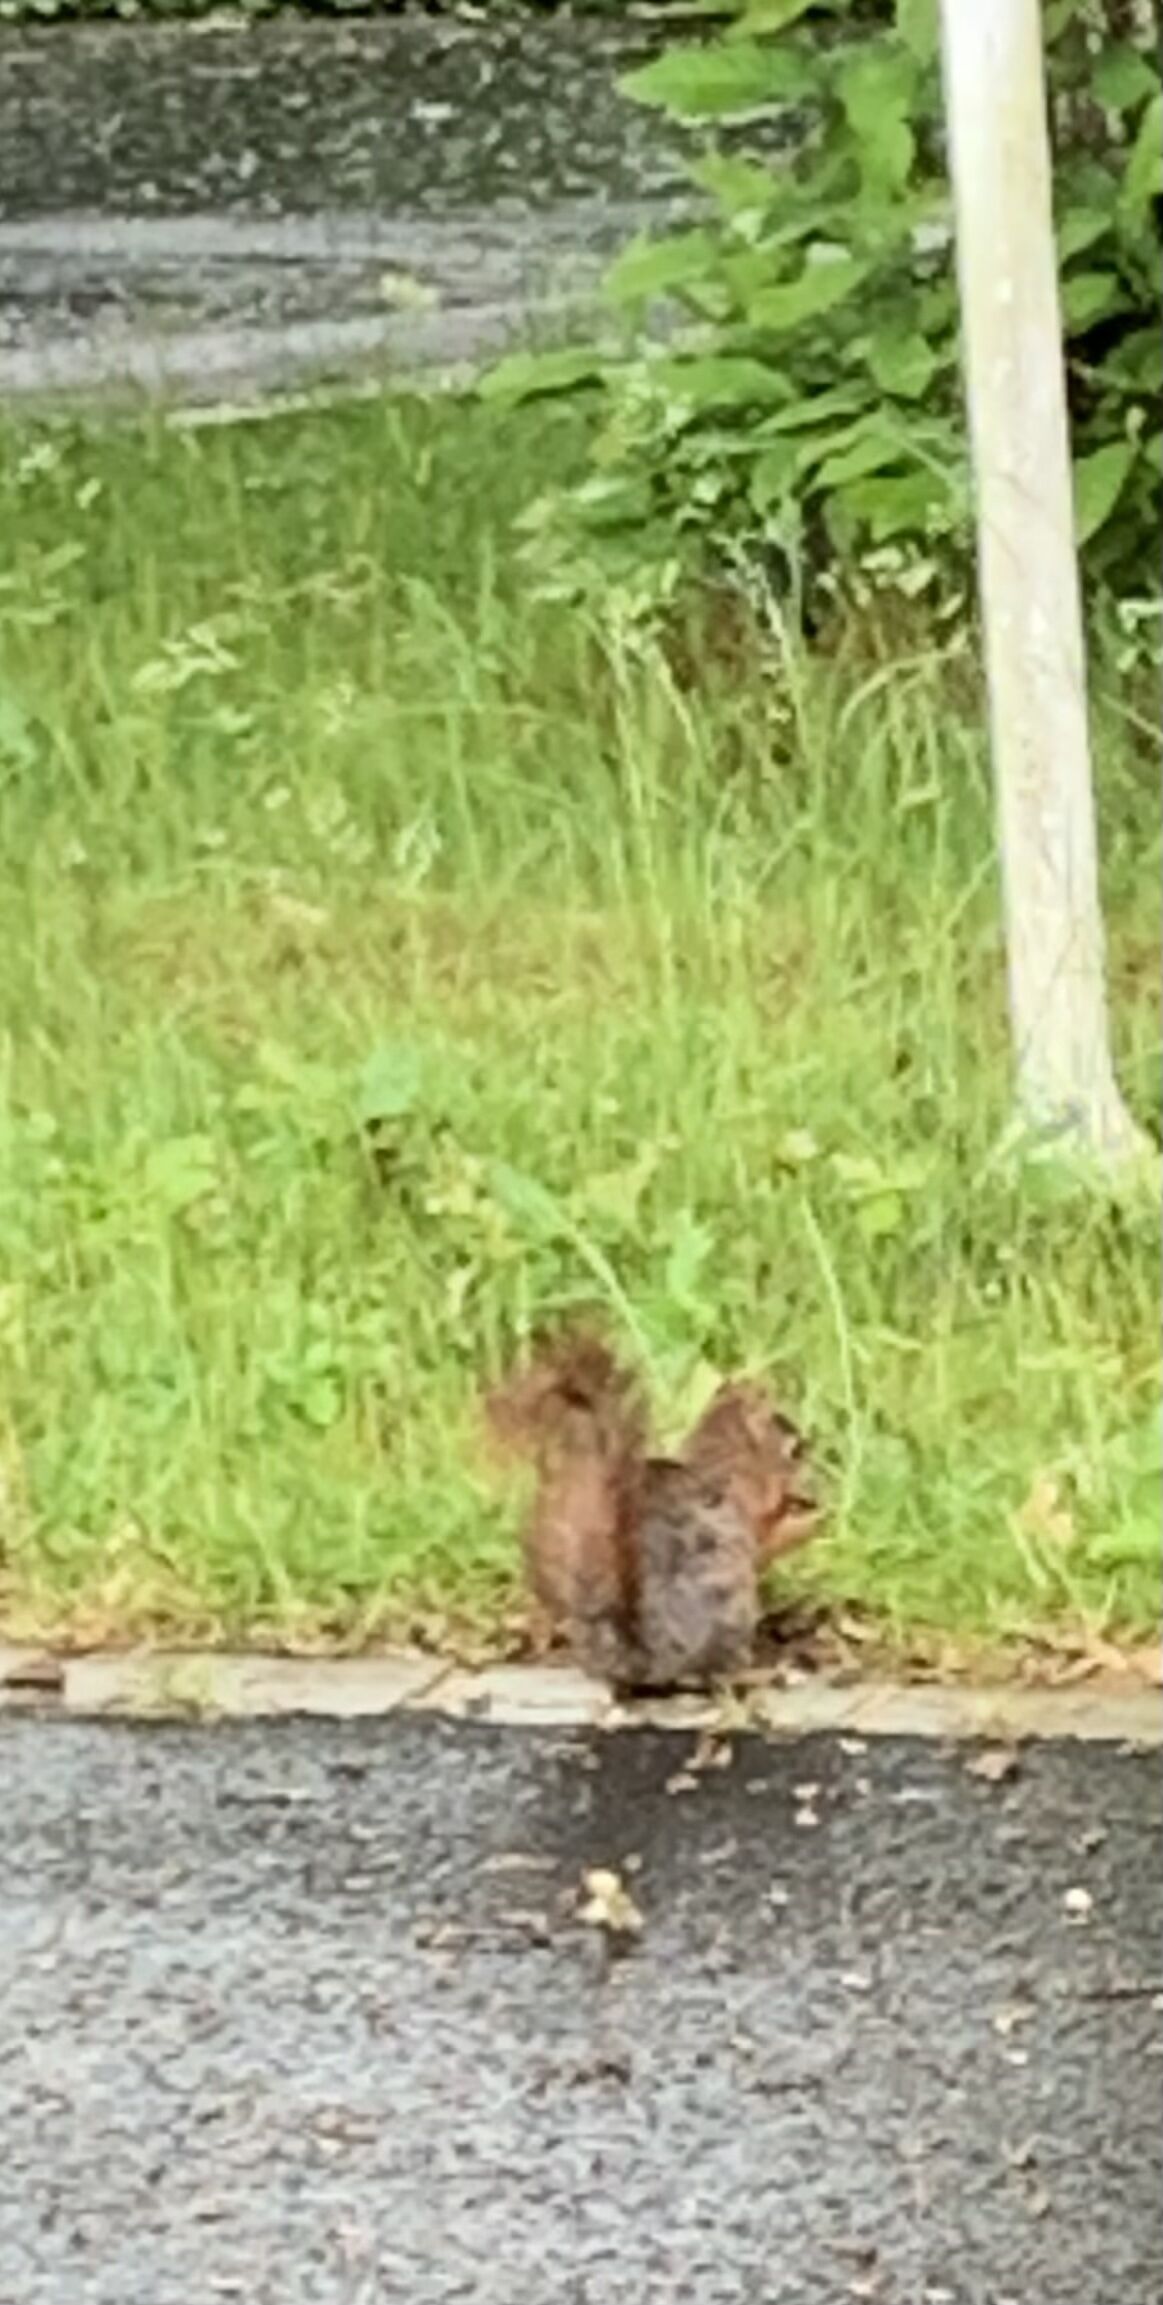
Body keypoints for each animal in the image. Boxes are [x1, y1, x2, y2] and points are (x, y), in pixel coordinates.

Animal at [485, 1332, 819, 1692]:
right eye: (794, 1446)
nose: (811, 1448)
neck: (730, 1459)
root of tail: (644, 1657)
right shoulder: (750, 1503)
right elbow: (769, 1535)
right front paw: (809, 1522)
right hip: (731, 1603)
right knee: (709, 1675)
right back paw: (756, 1673)